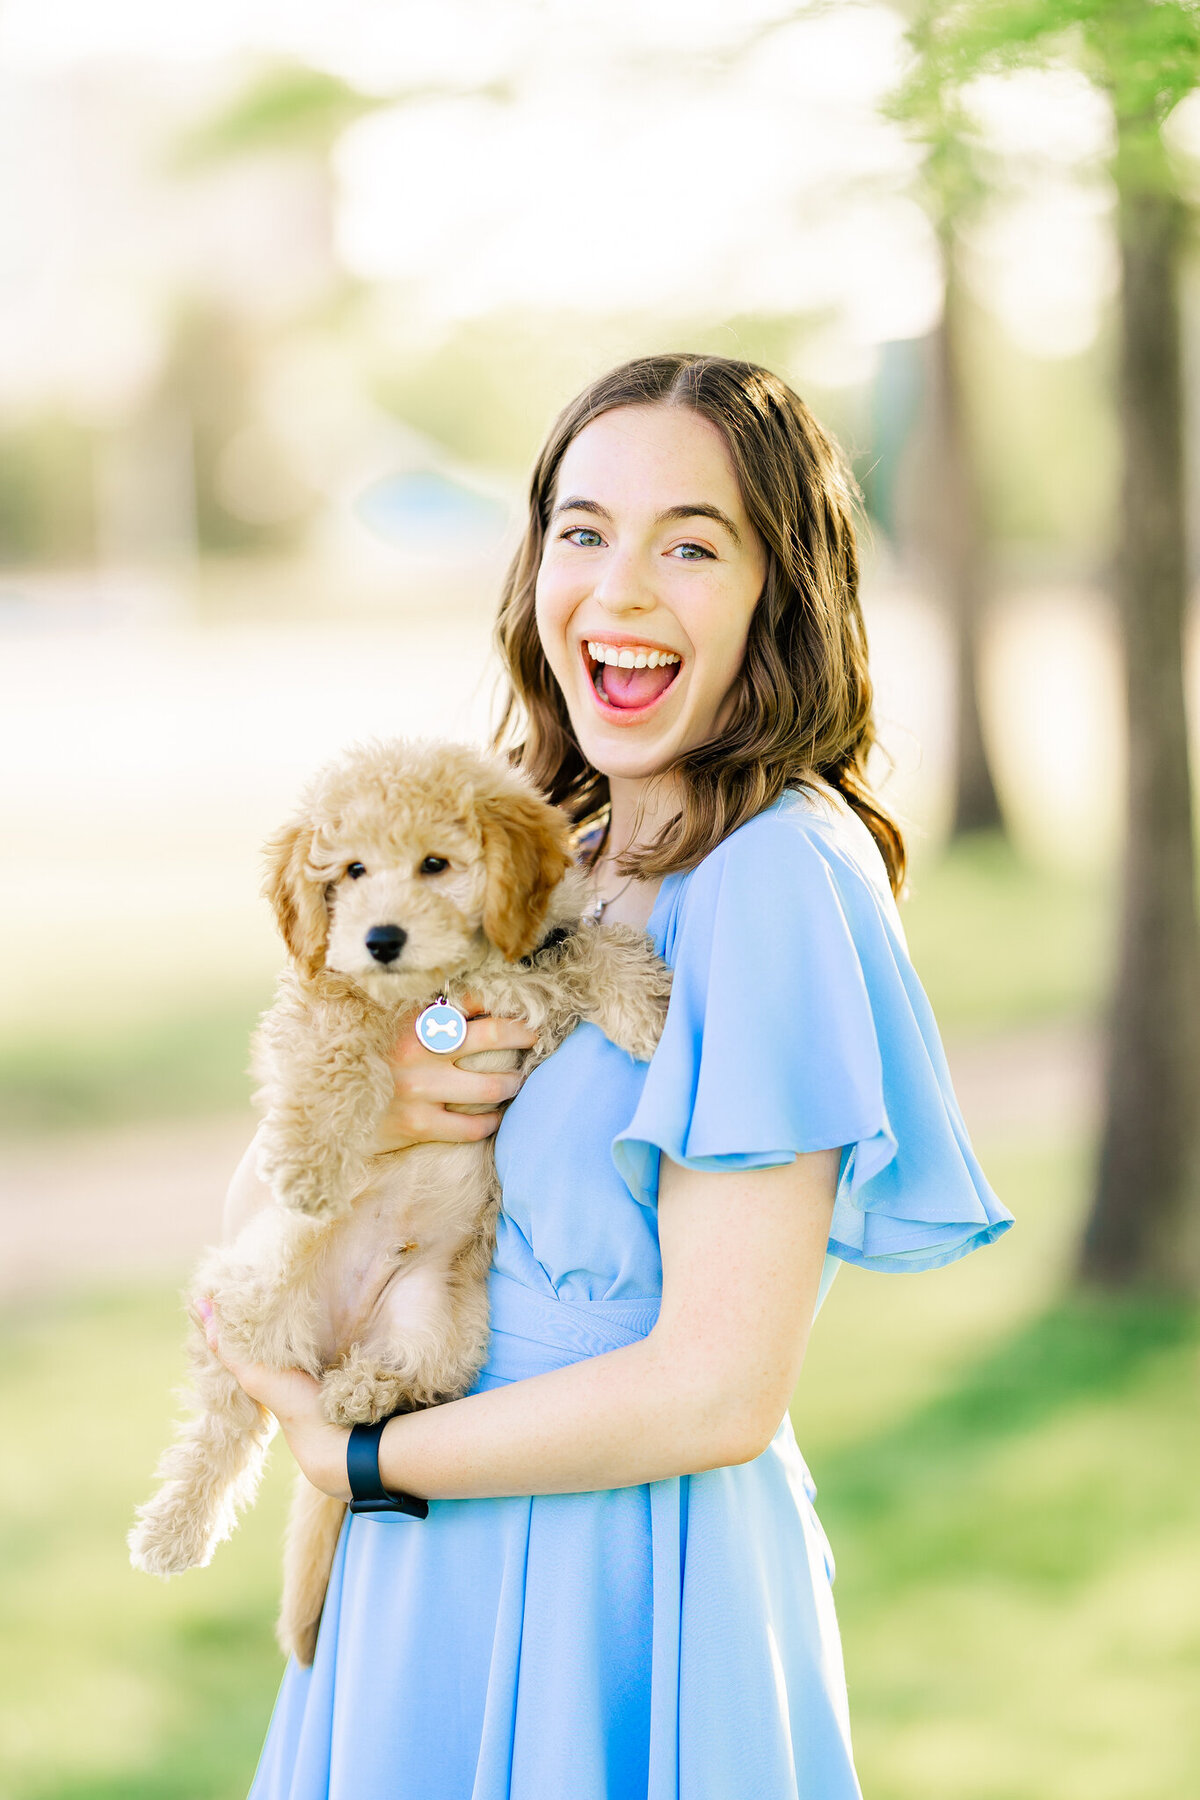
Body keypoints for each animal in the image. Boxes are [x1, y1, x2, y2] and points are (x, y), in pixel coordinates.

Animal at [132, 738, 676, 1663]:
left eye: (434, 864)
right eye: (350, 871)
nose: (382, 939)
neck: (447, 977)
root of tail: (330, 1344)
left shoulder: (540, 954)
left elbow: (588, 947)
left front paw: (645, 1007)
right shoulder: (326, 987)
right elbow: (338, 1041)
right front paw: (311, 1163)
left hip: (439, 1321)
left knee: (414, 1384)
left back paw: (364, 1394)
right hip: (251, 1297)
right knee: (223, 1432)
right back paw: (176, 1528)